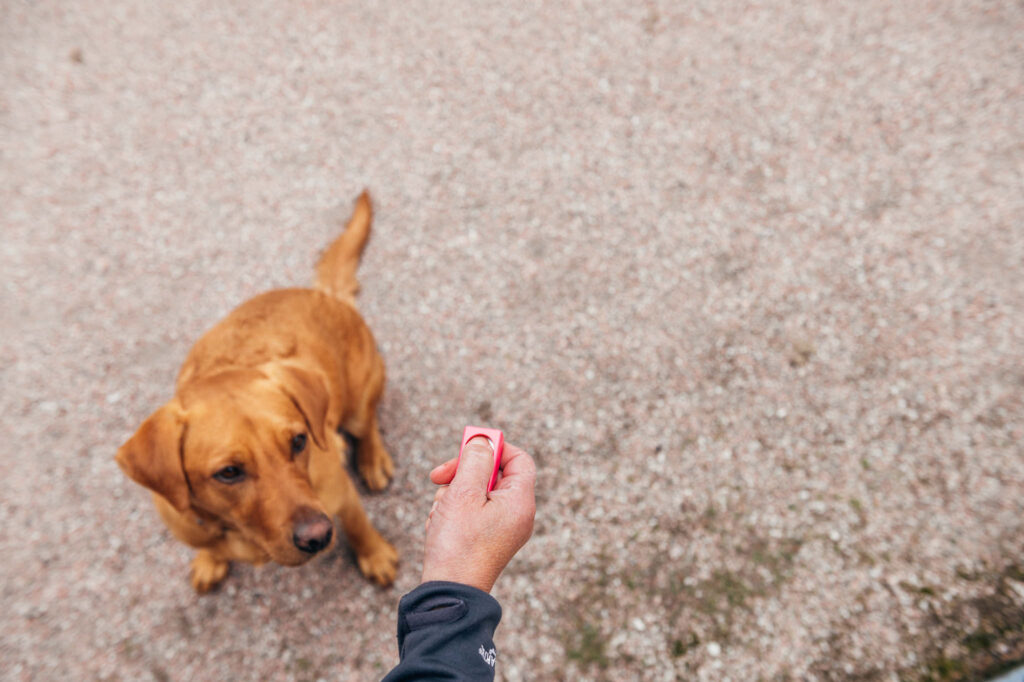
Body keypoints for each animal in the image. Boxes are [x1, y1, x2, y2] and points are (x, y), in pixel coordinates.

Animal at [116, 189, 395, 589]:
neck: (240, 531)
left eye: (299, 441)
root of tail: (323, 294)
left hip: (359, 397)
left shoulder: (340, 495)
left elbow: (359, 525)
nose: (319, 536)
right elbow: (210, 546)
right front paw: (210, 560)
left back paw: (372, 459)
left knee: (367, 423)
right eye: (229, 472)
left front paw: (374, 554)